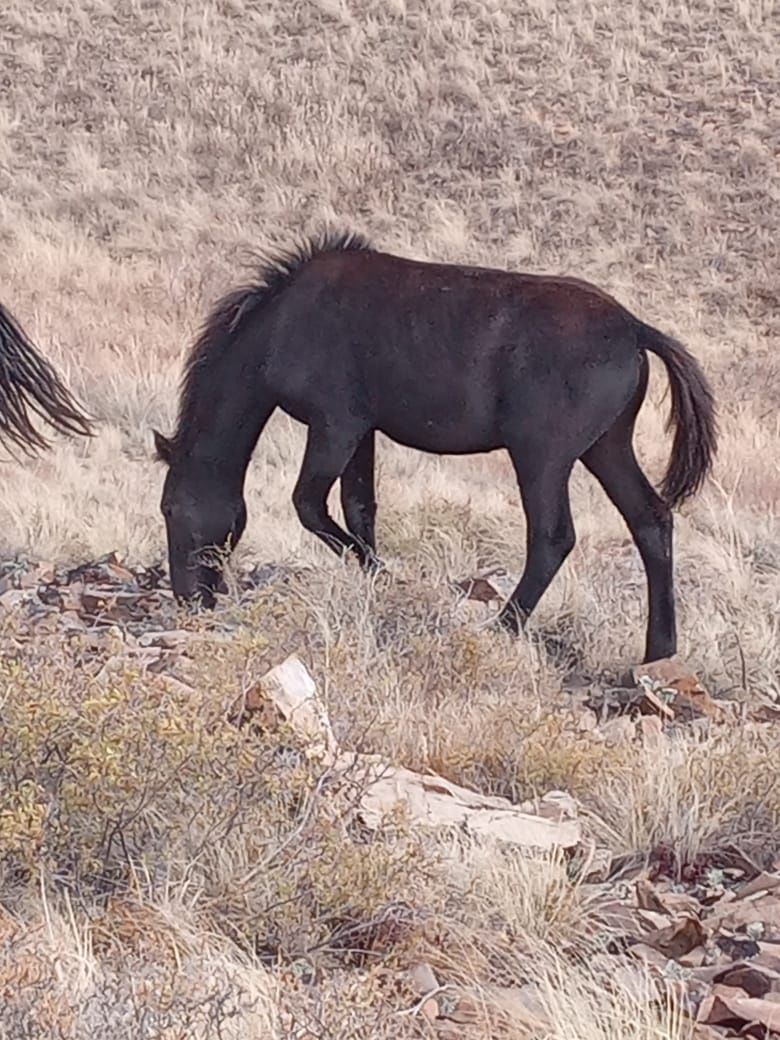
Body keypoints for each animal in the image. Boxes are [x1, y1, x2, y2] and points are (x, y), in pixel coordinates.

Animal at [153, 231, 719, 661]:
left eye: (171, 509)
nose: (189, 599)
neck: (282, 324)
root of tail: (635, 330)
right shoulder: (364, 432)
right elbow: (359, 507)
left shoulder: (335, 425)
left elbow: (309, 504)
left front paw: (382, 575)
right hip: (606, 448)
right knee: (650, 520)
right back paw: (659, 650)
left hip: (542, 456)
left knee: (553, 536)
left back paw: (506, 625)